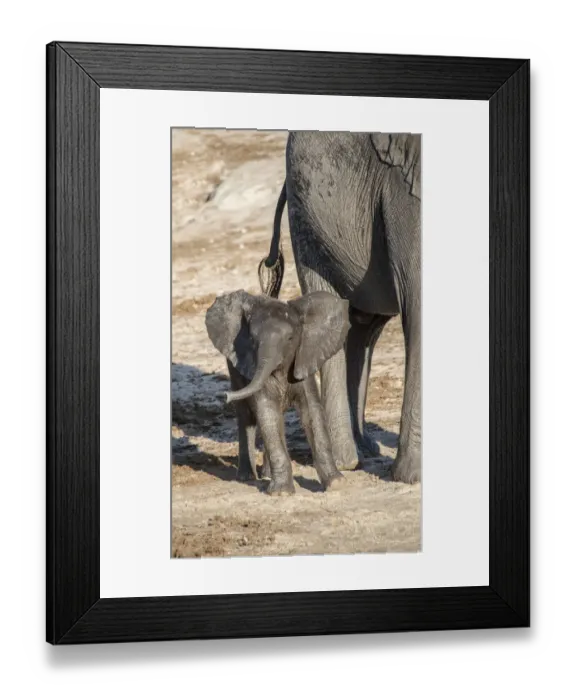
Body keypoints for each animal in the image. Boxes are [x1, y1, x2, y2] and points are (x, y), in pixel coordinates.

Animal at [205, 289, 350, 496]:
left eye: (289, 339)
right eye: (252, 341)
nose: (225, 396)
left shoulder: (302, 360)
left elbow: (311, 411)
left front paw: (336, 483)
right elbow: (267, 412)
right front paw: (281, 493)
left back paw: (265, 475)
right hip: (235, 371)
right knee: (246, 417)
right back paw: (247, 477)